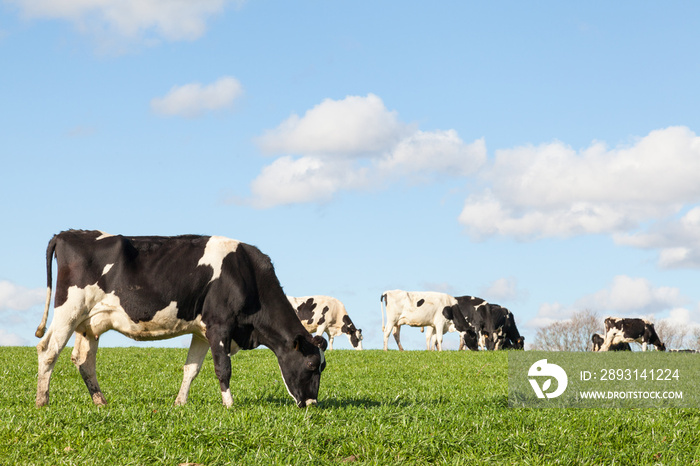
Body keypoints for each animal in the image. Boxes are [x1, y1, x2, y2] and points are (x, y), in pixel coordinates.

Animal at [34, 231, 326, 410]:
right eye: (312, 365)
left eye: (323, 366)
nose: (312, 404)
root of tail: (69, 234)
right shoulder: (220, 324)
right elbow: (223, 368)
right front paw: (229, 405)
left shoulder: (202, 331)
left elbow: (191, 369)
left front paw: (180, 403)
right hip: (69, 310)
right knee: (48, 350)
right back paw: (42, 401)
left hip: (89, 323)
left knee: (84, 361)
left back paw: (100, 402)